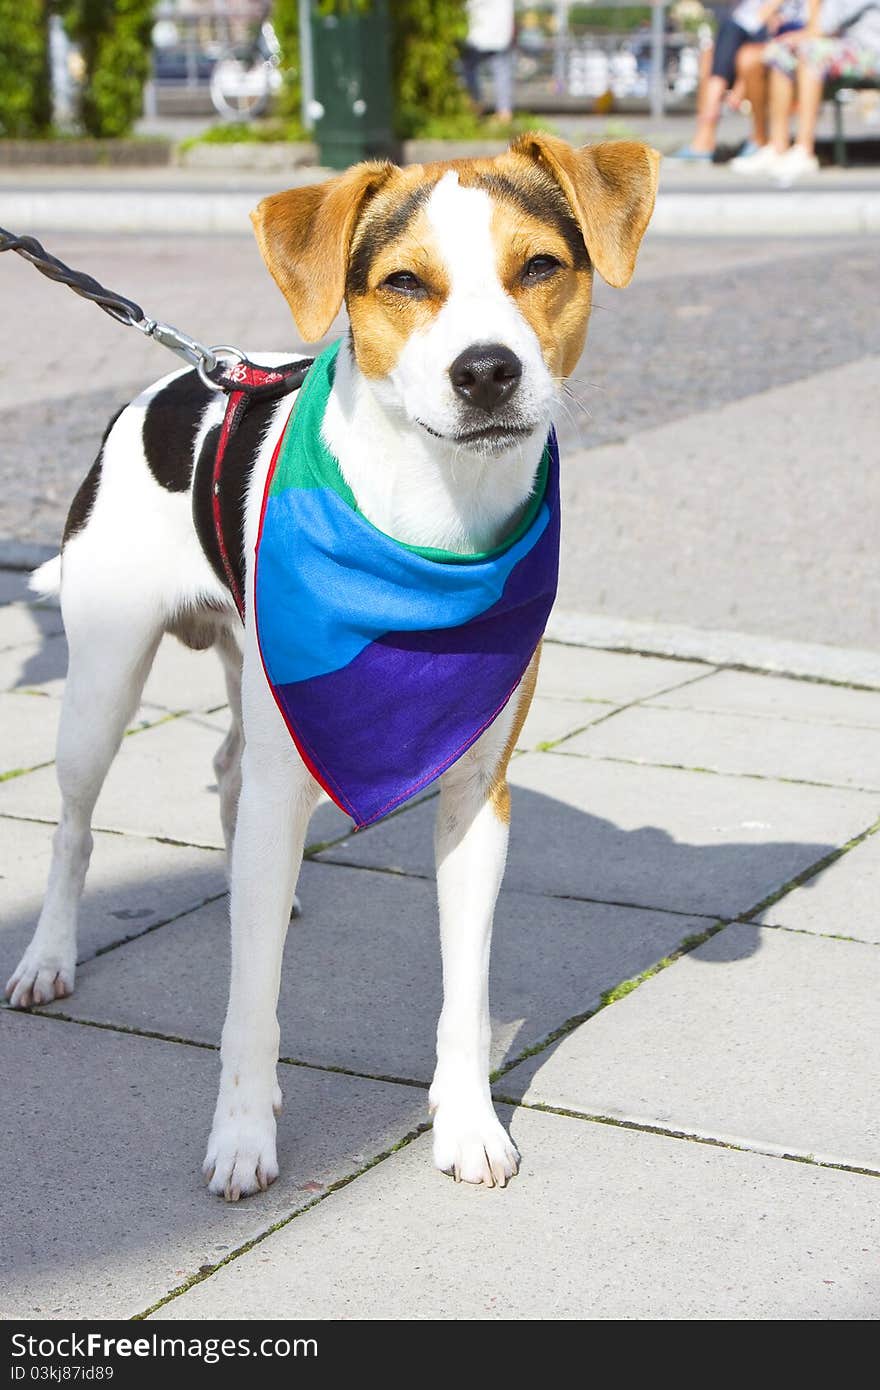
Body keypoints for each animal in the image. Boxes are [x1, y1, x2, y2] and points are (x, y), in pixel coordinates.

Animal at [5, 135, 653, 1195]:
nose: (487, 371)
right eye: (405, 282)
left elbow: (465, 994)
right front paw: (240, 1136)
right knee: (74, 828)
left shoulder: (479, 795)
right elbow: (249, 1002)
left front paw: (468, 1124)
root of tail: (184, 378)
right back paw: (49, 959)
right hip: (101, 684)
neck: (432, 521)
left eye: (539, 267)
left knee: (229, 773)